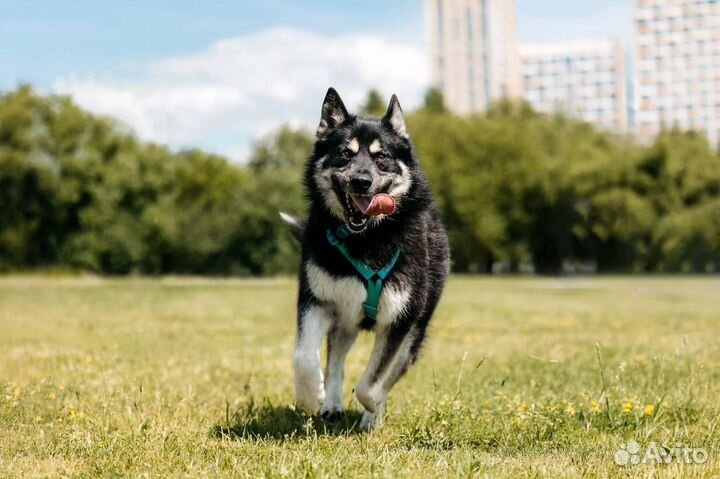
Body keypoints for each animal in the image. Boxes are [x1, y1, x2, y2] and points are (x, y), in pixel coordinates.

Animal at [282, 87, 450, 432]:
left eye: (381, 157)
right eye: (345, 153)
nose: (361, 181)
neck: (366, 240)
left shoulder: (400, 321)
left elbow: (373, 382)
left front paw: (373, 409)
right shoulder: (317, 300)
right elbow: (304, 356)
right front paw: (310, 395)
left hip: (414, 332)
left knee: (387, 372)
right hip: (344, 318)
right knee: (335, 360)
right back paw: (331, 403)